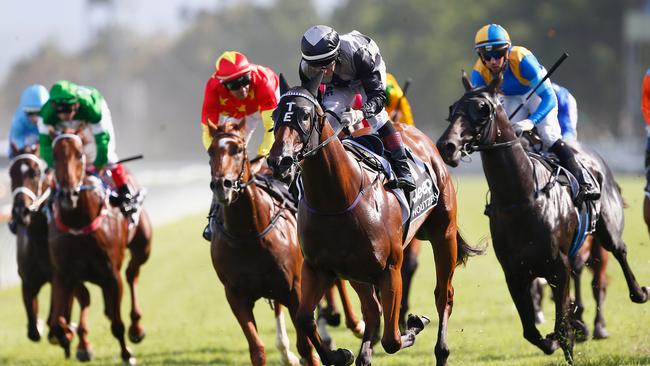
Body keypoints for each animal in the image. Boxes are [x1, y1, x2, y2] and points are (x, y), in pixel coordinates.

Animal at [7, 144, 91, 346]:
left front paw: (67, 330)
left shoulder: (60, 277)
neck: (39, 239)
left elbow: (56, 318)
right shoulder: (27, 281)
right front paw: (40, 325)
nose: (20, 212)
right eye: (11, 173)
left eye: (35, 172)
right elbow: (33, 331)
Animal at [48, 132, 152, 364]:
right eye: (54, 155)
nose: (68, 194)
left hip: (143, 246)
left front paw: (127, 354)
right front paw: (69, 336)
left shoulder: (112, 275)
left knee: (132, 273)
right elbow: (58, 321)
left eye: (79, 154)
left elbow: (117, 324)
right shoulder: (65, 275)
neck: (79, 225)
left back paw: (137, 327)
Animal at [206, 118, 316, 364]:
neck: (247, 234)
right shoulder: (236, 296)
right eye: (210, 152)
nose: (221, 186)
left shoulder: (295, 289)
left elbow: (306, 346)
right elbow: (257, 349)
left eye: (238, 150)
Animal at [266, 74, 484, 366]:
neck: (337, 199)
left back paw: (440, 349)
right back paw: (364, 353)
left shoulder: (390, 269)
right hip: (358, 272)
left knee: (443, 296)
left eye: (305, 115)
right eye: (275, 114)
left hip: (443, 234)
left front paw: (414, 323)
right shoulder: (317, 267)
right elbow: (304, 319)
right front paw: (339, 354)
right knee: (371, 311)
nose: (280, 161)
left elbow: (392, 339)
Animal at [432, 73, 644, 364]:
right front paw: (552, 340)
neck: (521, 199)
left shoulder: (558, 266)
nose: (446, 146)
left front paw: (567, 339)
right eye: (452, 109)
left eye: (483, 109)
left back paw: (637, 293)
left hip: (607, 230)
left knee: (619, 251)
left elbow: (561, 323)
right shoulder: (514, 273)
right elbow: (530, 331)